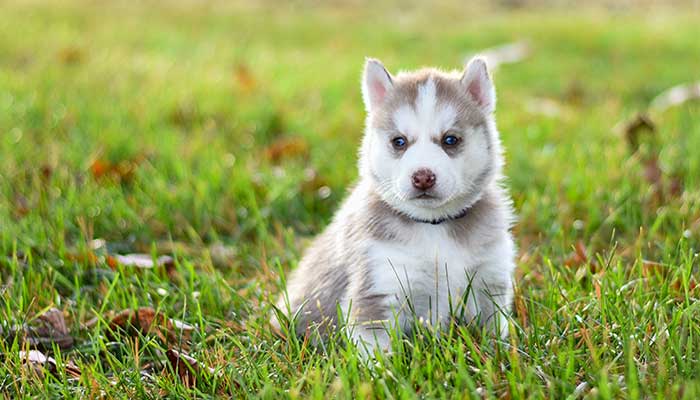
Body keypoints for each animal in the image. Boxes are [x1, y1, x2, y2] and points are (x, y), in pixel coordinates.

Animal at [276, 57, 516, 354]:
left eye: (450, 139)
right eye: (399, 142)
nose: (423, 176)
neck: (434, 227)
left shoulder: (488, 279)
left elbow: (494, 332)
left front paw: (500, 356)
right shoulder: (379, 287)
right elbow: (376, 352)